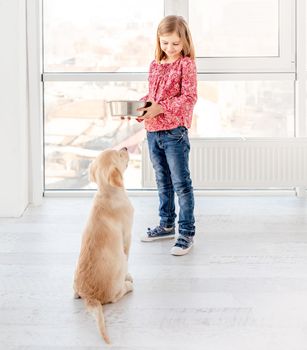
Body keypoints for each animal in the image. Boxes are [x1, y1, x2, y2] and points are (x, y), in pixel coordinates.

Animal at [74, 146, 134, 344]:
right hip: (119, 271)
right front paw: (129, 276)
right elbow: (128, 256)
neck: (108, 192)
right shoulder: (127, 236)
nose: (125, 147)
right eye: (120, 154)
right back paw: (128, 285)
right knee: (117, 295)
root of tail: (90, 297)